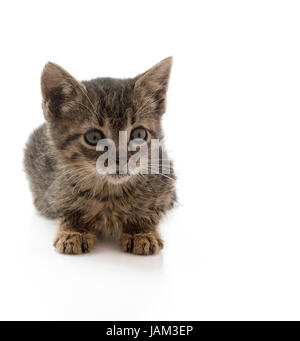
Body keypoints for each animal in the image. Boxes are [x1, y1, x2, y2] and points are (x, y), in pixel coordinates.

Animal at [25, 58, 178, 254]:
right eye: (94, 137)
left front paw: (140, 232)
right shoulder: (55, 185)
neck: (109, 193)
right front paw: (75, 231)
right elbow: (66, 208)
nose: (121, 160)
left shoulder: (164, 176)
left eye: (139, 134)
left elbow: (152, 210)